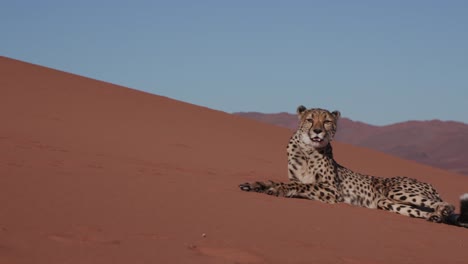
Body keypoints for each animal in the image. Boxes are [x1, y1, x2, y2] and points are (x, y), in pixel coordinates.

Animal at [239, 105, 468, 227]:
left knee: (447, 204)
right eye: (310, 119)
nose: (318, 131)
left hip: (397, 190)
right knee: (422, 210)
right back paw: (435, 217)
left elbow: (301, 185)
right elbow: (288, 182)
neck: (307, 150)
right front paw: (256, 185)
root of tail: (430, 184)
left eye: (327, 121)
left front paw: (276, 189)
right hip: (387, 202)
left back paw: (442, 211)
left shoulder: (332, 191)